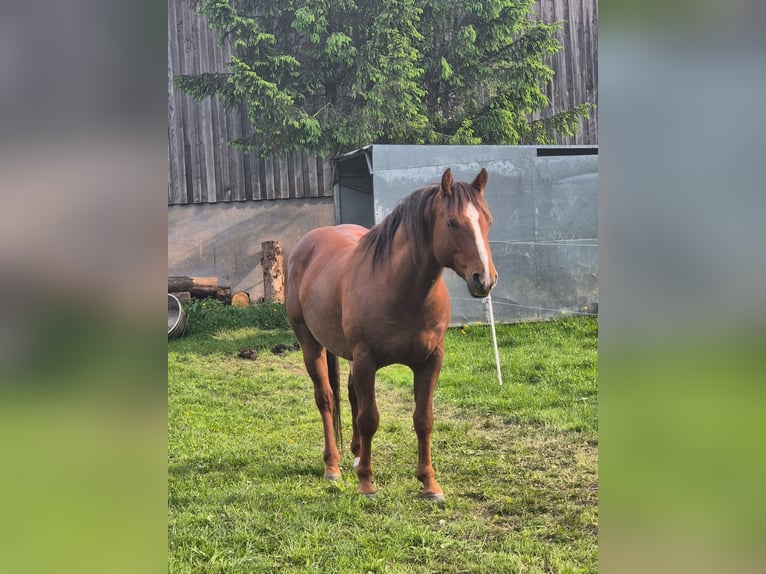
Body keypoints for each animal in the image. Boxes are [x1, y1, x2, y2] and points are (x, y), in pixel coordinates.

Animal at [285, 168, 497, 500]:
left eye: (487, 221)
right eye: (452, 222)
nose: (485, 280)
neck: (401, 289)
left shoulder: (430, 361)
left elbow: (423, 419)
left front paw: (429, 484)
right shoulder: (366, 360)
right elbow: (369, 418)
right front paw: (366, 484)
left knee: (350, 394)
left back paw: (356, 453)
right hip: (311, 344)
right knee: (326, 399)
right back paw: (332, 466)